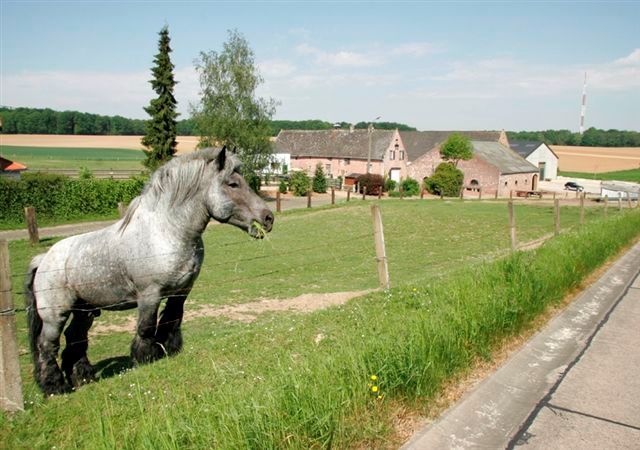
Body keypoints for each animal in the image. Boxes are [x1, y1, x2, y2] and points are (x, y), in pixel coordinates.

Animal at [24, 148, 272, 394]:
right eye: (232, 184)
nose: (268, 218)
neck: (166, 231)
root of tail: (42, 259)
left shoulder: (181, 291)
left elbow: (172, 319)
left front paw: (167, 349)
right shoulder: (149, 295)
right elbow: (145, 327)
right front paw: (145, 359)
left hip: (85, 311)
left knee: (75, 339)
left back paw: (84, 377)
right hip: (56, 316)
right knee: (47, 346)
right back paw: (54, 386)